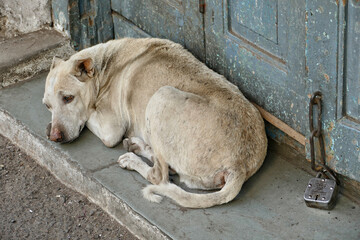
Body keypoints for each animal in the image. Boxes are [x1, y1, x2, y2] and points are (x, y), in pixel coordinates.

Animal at [43, 38, 268, 208]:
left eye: (68, 98)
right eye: (47, 106)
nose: (54, 137)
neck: (105, 65)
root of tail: (239, 166)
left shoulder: (110, 129)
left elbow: (89, 115)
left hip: (161, 96)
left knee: (158, 175)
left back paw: (133, 159)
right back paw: (139, 146)